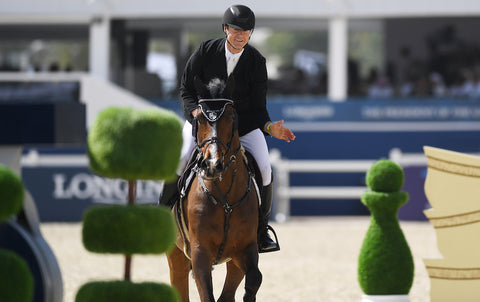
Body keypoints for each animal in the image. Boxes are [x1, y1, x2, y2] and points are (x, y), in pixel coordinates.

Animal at [165, 78, 262, 302]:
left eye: (231, 117)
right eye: (199, 119)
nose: (212, 165)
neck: (226, 200)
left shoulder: (246, 249)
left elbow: (255, 278)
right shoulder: (200, 253)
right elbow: (207, 294)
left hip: (233, 261)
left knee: (227, 294)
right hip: (176, 257)